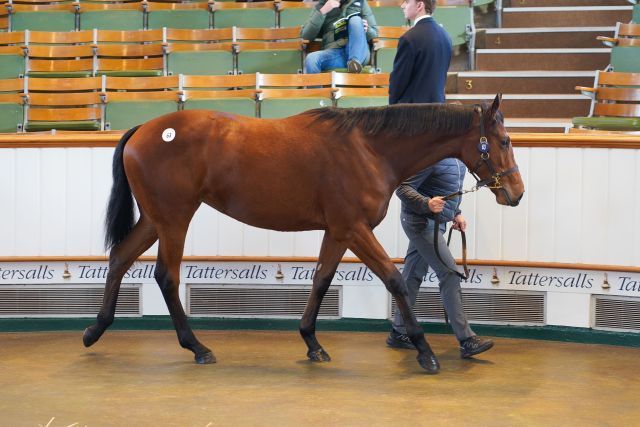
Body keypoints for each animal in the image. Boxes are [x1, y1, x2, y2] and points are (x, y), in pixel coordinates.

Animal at [84, 94, 524, 374]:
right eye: (503, 140)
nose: (516, 193)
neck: (369, 149)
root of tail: (145, 129)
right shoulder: (354, 228)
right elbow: (395, 280)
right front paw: (424, 351)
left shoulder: (338, 231)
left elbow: (322, 279)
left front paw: (312, 342)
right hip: (175, 219)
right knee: (167, 277)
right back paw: (197, 347)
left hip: (156, 219)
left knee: (120, 257)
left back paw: (95, 330)